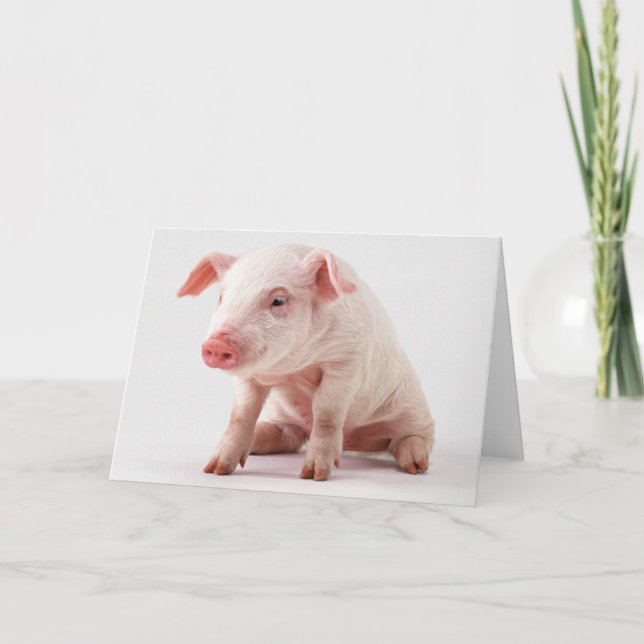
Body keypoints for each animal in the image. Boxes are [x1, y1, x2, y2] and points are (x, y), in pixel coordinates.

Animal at [177, 244, 435, 481]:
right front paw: (214, 470)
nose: (217, 343)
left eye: (278, 300)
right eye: (221, 297)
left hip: (413, 410)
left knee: (412, 438)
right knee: (289, 436)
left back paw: (416, 466)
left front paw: (313, 476)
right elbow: (241, 415)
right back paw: (259, 439)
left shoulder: (346, 361)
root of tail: (354, 442)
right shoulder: (246, 377)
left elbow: (326, 413)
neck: (294, 367)